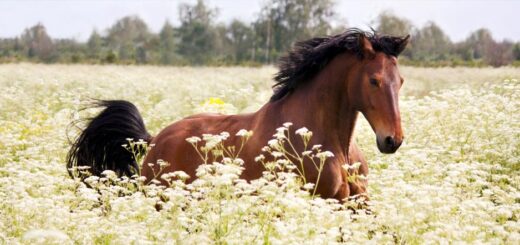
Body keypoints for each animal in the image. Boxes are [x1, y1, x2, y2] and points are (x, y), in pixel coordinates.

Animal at [67, 28, 410, 201]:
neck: (334, 145)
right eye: (374, 81)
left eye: (401, 81)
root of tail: (154, 141)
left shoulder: (355, 206)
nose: (392, 140)